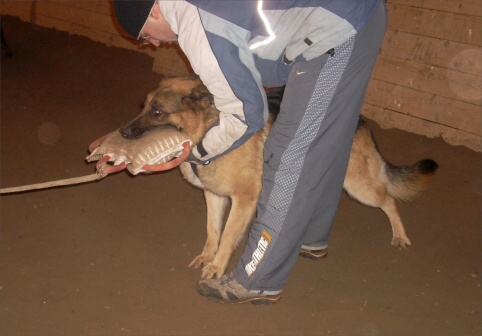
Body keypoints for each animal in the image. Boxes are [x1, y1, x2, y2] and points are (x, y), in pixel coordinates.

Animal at [119, 75, 436, 280]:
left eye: (157, 111)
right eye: (143, 105)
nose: (122, 132)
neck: (210, 133)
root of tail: (360, 119)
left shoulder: (243, 199)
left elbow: (227, 236)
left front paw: (218, 267)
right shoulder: (215, 196)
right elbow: (213, 232)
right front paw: (208, 257)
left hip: (359, 187)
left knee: (389, 201)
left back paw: (400, 235)